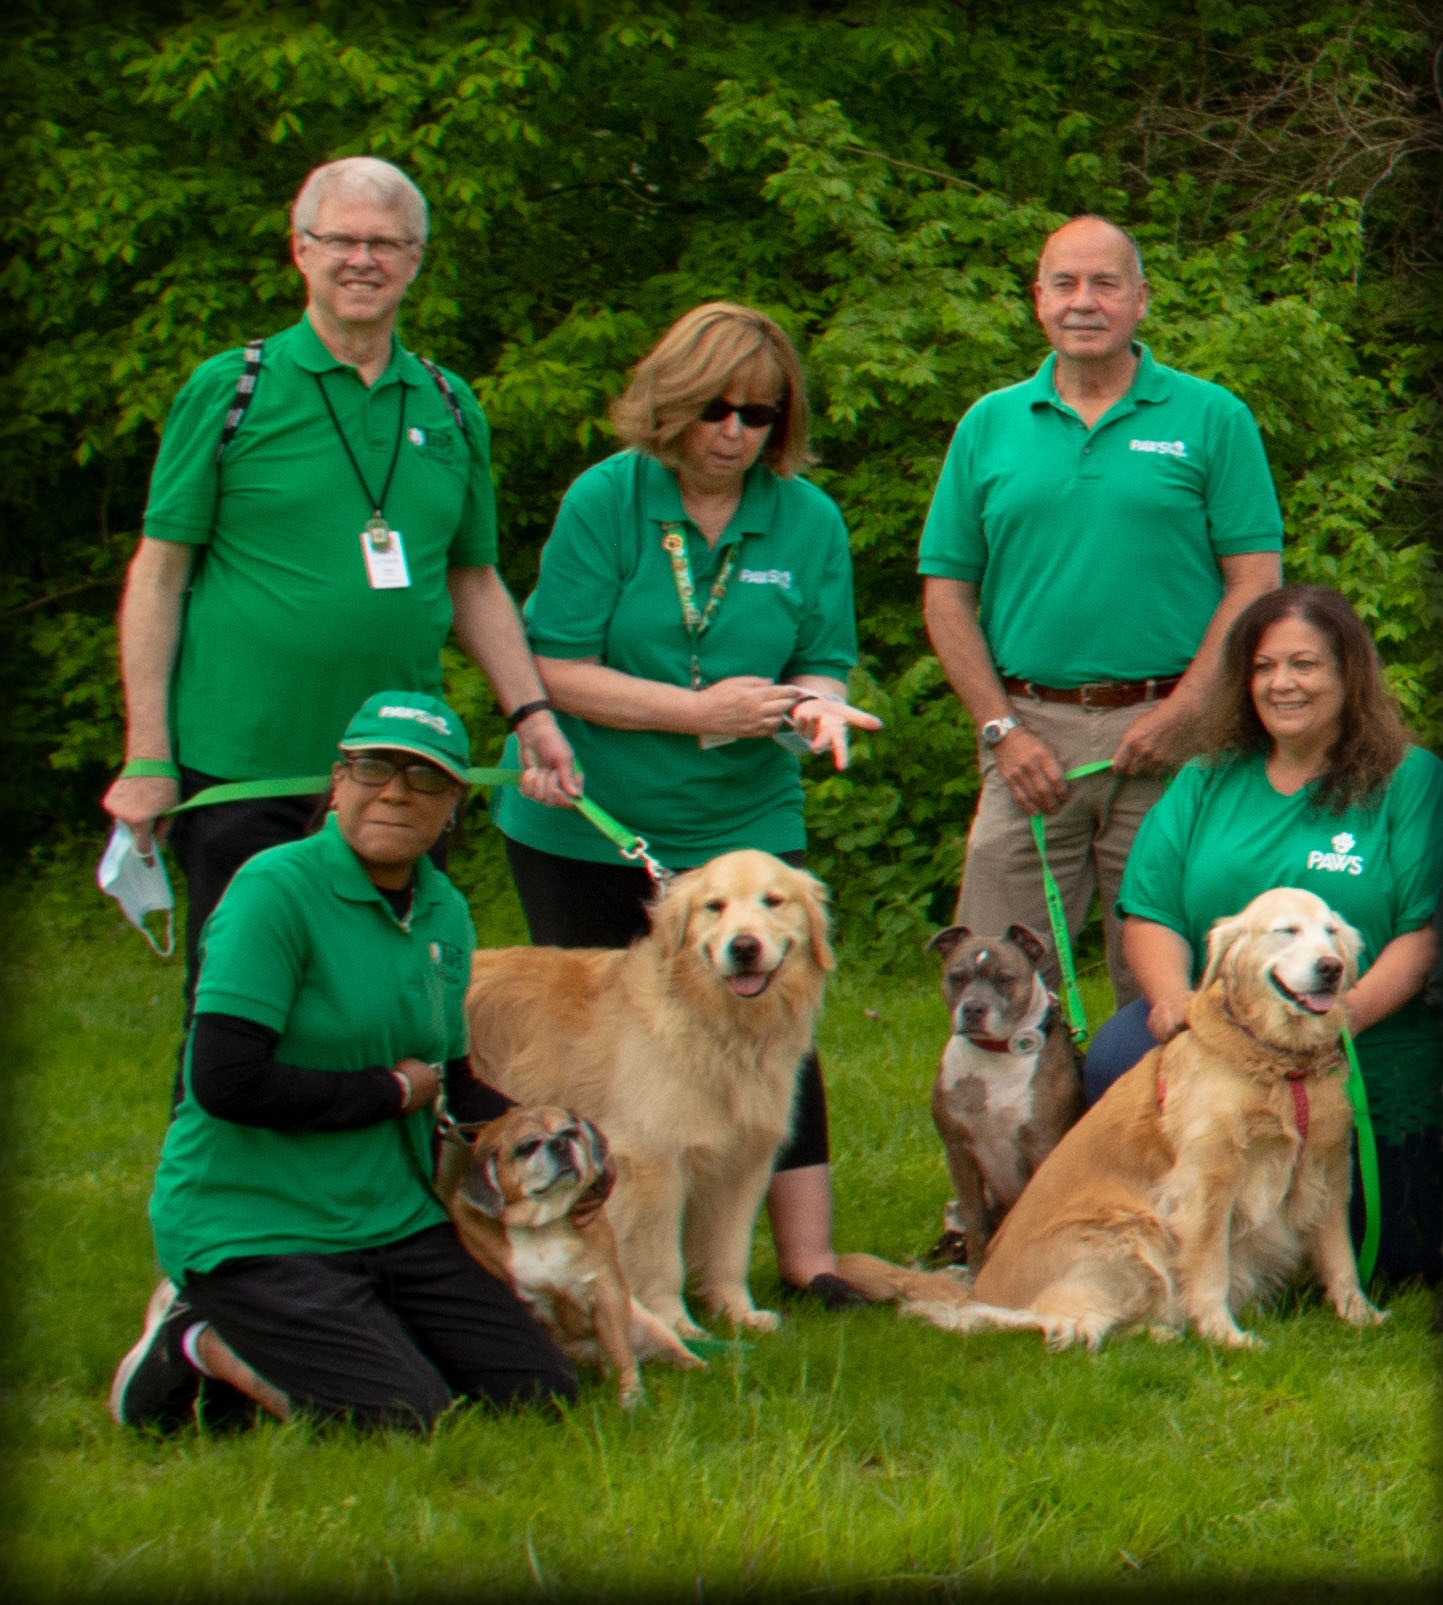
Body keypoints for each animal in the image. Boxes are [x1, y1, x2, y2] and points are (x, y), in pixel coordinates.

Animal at [443, 1104, 709, 1405]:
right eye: (526, 1147)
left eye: (570, 1132)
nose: (559, 1143)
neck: (544, 1227)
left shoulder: (606, 1292)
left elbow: (620, 1352)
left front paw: (631, 1398)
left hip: (647, 1323)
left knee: (669, 1350)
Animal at [924, 924, 1085, 1271]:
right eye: (957, 977)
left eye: (1005, 979)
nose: (973, 1008)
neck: (995, 1056)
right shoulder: (959, 1152)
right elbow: (975, 1221)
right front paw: (975, 1272)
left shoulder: (1042, 1146)